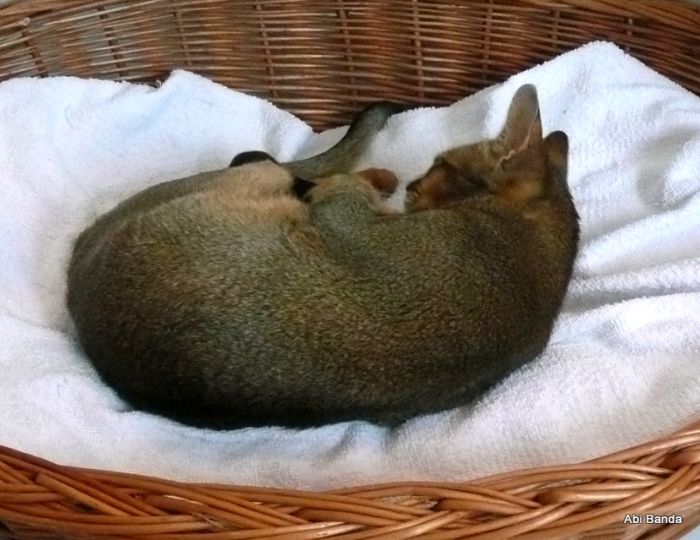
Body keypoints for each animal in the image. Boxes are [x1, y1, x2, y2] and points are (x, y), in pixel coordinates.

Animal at [67, 85, 579, 429]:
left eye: (440, 165)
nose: (414, 184)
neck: (539, 245)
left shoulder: (342, 216)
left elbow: (335, 190)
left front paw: (378, 183)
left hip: (254, 180)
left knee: (265, 160)